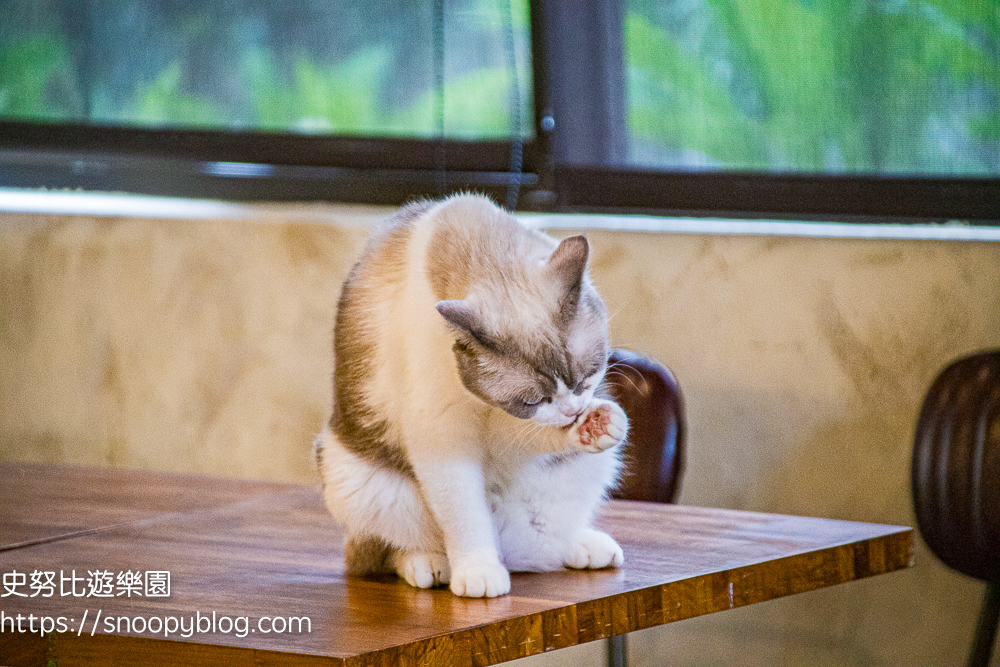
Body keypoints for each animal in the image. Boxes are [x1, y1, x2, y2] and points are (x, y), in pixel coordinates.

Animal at [312, 193, 628, 600]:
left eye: (587, 378)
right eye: (533, 400)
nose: (573, 411)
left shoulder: (504, 430)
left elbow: (537, 436)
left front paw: (594, 425)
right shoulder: (445, 436)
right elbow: (465, 517)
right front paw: (479, 573)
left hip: (583, 475)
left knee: (542, 545)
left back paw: (583, 546)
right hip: (358, 480)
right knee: (387, 550)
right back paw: (429, 565)